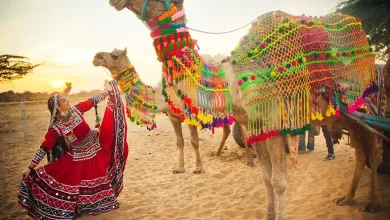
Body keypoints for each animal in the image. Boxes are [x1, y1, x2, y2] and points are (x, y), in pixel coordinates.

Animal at [92, 48, 238, 174]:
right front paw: (179, 168)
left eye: (115, 55)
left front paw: (198, 168)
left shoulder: (189, 114)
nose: (96, 57)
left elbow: (194, 141)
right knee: (227, 130)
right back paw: (217, 153)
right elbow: (180, 142)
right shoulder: (173, 117)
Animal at [108, 0, 386, 218]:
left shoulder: (275, 129)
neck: (232, 83)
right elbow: (265, 177)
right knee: (361, 155)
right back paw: (347, 198)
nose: (115, 0)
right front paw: (269, 213)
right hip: (352, 119)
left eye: (113, 55)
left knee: (373, 153)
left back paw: (372, 203)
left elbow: (279, 181)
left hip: (371, 112)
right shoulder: (256, 129)